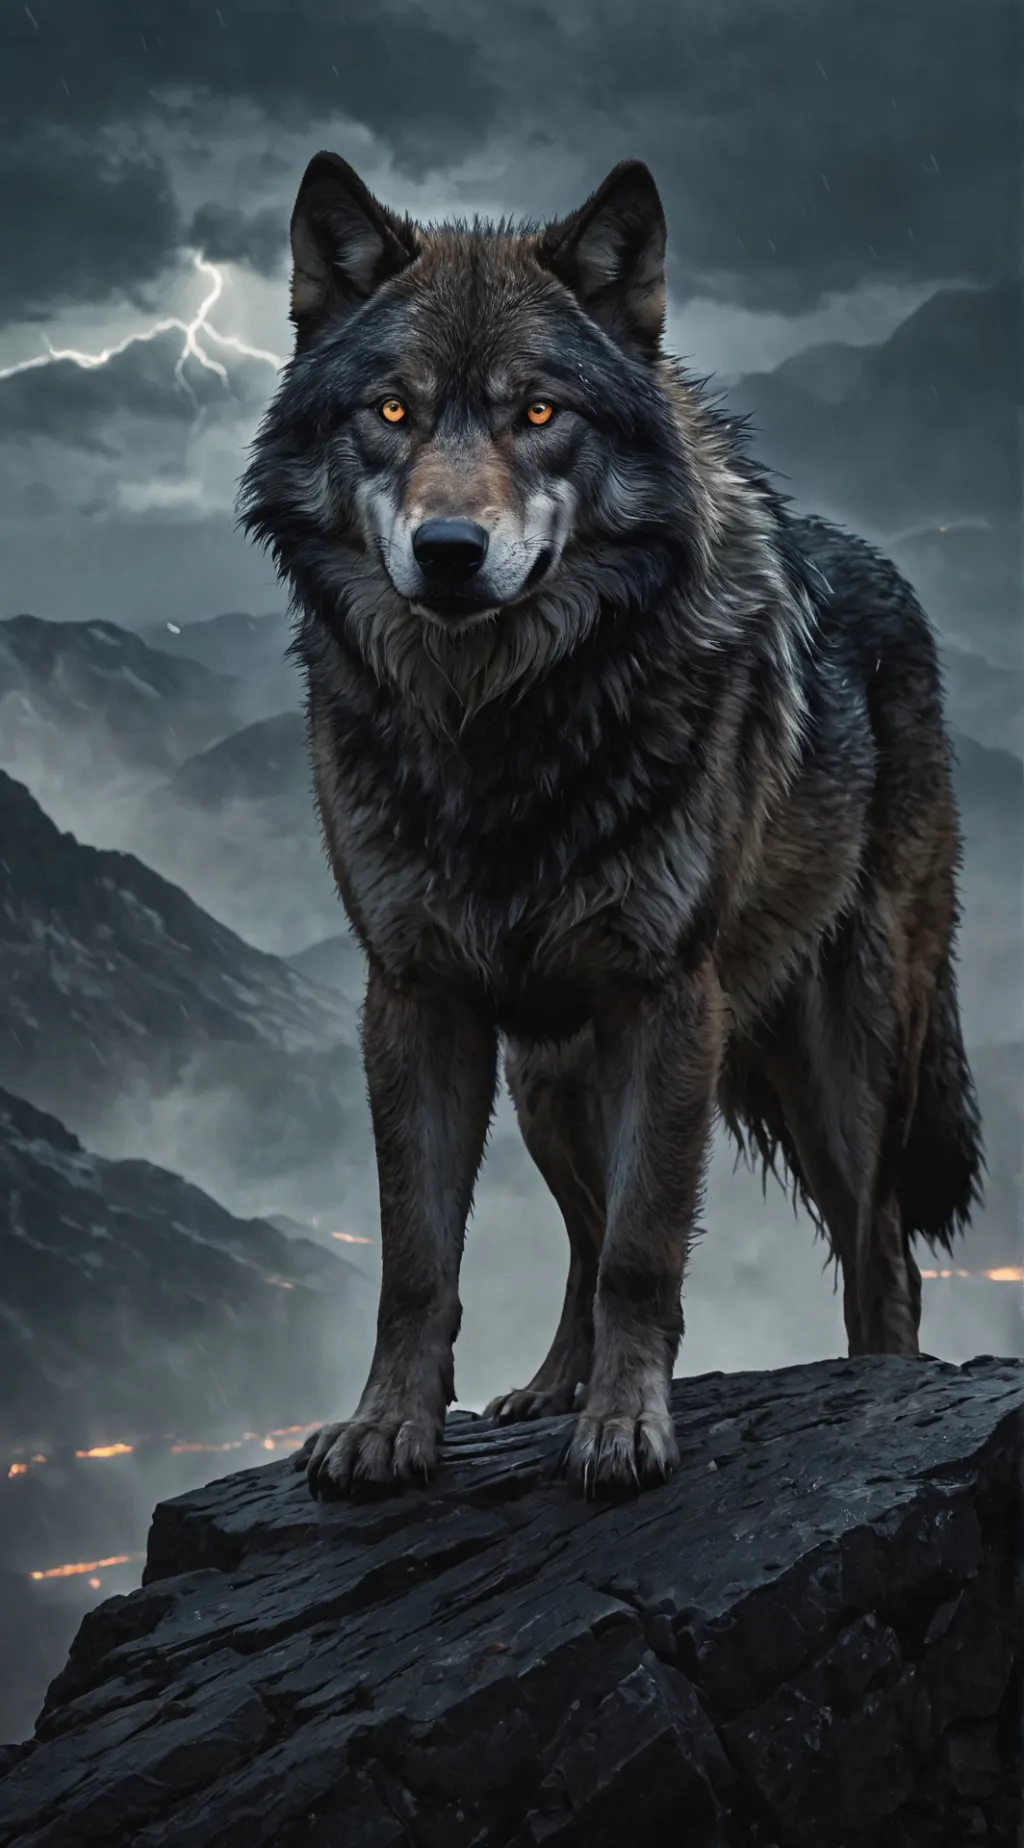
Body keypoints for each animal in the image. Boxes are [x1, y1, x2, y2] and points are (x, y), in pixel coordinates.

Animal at [240, 152, 983, 1501]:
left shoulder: (665, 996)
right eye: (391, 412)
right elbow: (417, 1262)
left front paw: (629, 1429)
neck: (496, 731)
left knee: (880, 1253)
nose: (448, 550)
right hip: (544, 1071)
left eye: (540, 414)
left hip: (848, 1065)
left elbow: (646, 1251)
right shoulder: (414, 996)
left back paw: (874, 1393)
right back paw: (549, 1386)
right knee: (581, 1242)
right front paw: (386, 1428)